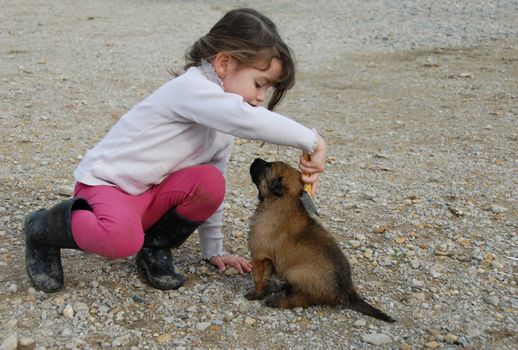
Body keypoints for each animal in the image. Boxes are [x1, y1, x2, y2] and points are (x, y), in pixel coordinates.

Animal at [246, 159, 396, 322]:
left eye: (268, 166)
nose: (255, 159)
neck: (282, 201)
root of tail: (346, 290)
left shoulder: (260, 256)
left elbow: (259, 279)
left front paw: (255, 295)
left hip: (298, 273)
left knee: (301, 300)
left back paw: (278, 300)